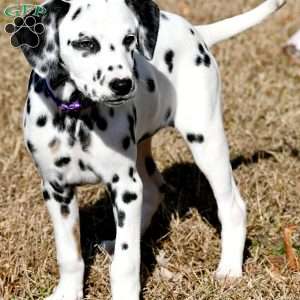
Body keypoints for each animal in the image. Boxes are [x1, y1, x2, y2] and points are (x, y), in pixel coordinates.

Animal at [14, 0, 286, 298]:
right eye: (85, 43)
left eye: (129, 39)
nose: (123, 84)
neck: (76, 117)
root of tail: (197, 32)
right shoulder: (57, 190)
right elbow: (69, 253)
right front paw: (68, 292)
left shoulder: (124, 185)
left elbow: (126, 262)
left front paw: (124, 294)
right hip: (141, 149)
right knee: (153, 191)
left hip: (206, 141)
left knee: (232, 206)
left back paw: (229, 268)